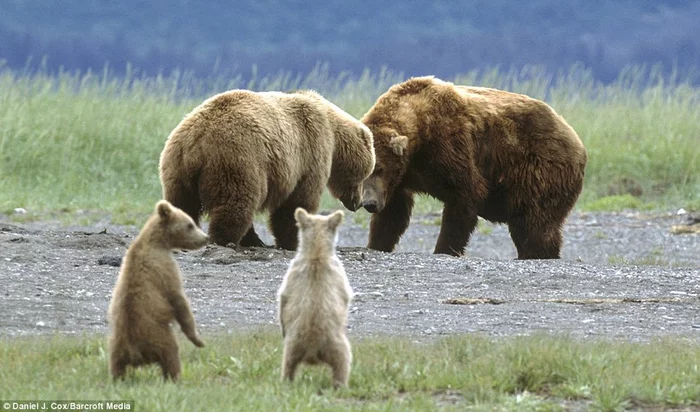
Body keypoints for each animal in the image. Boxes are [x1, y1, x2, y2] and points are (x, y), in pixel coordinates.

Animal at [108, 200, 208, 380]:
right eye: (190, 224)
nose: (205, 238)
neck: (157, 242)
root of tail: (134, 352)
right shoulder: (164, 267)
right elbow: (178, 299)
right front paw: (198, 339)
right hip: (158, 336)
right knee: (171, 354)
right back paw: (175, 377)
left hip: (115, 344)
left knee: (115, 364)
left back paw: (118, 378)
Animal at [159, 89, 378, 249]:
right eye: (366, 174)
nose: (359, 203)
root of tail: (196, 139)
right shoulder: (311, 152)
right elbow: (297, 202)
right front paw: (293, 240)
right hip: (238, 160)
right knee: (237, 201)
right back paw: (227, 240)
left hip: (175, 167)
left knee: (182, 203)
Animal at [278, 208, 352, 388]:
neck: (316, 252)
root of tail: (312, 348)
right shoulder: (339, 274)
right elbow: (346, 295)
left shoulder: (292, 273)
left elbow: (284, 298)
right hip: (337, 345)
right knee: (343, 362)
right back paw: (341, 385)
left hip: (292, 345)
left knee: (288, 364)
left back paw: (286, 381)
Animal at [360, 75, 584, 260]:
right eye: (364, 173)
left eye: (380, 168)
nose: (369, 203)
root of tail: (576, 139)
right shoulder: (401, 177)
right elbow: (393, 213)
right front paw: (377, 244)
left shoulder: (449, 145)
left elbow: (465, 195)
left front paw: (445, 248)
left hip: (540, 167)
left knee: (534, 221)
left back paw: (536, 253)